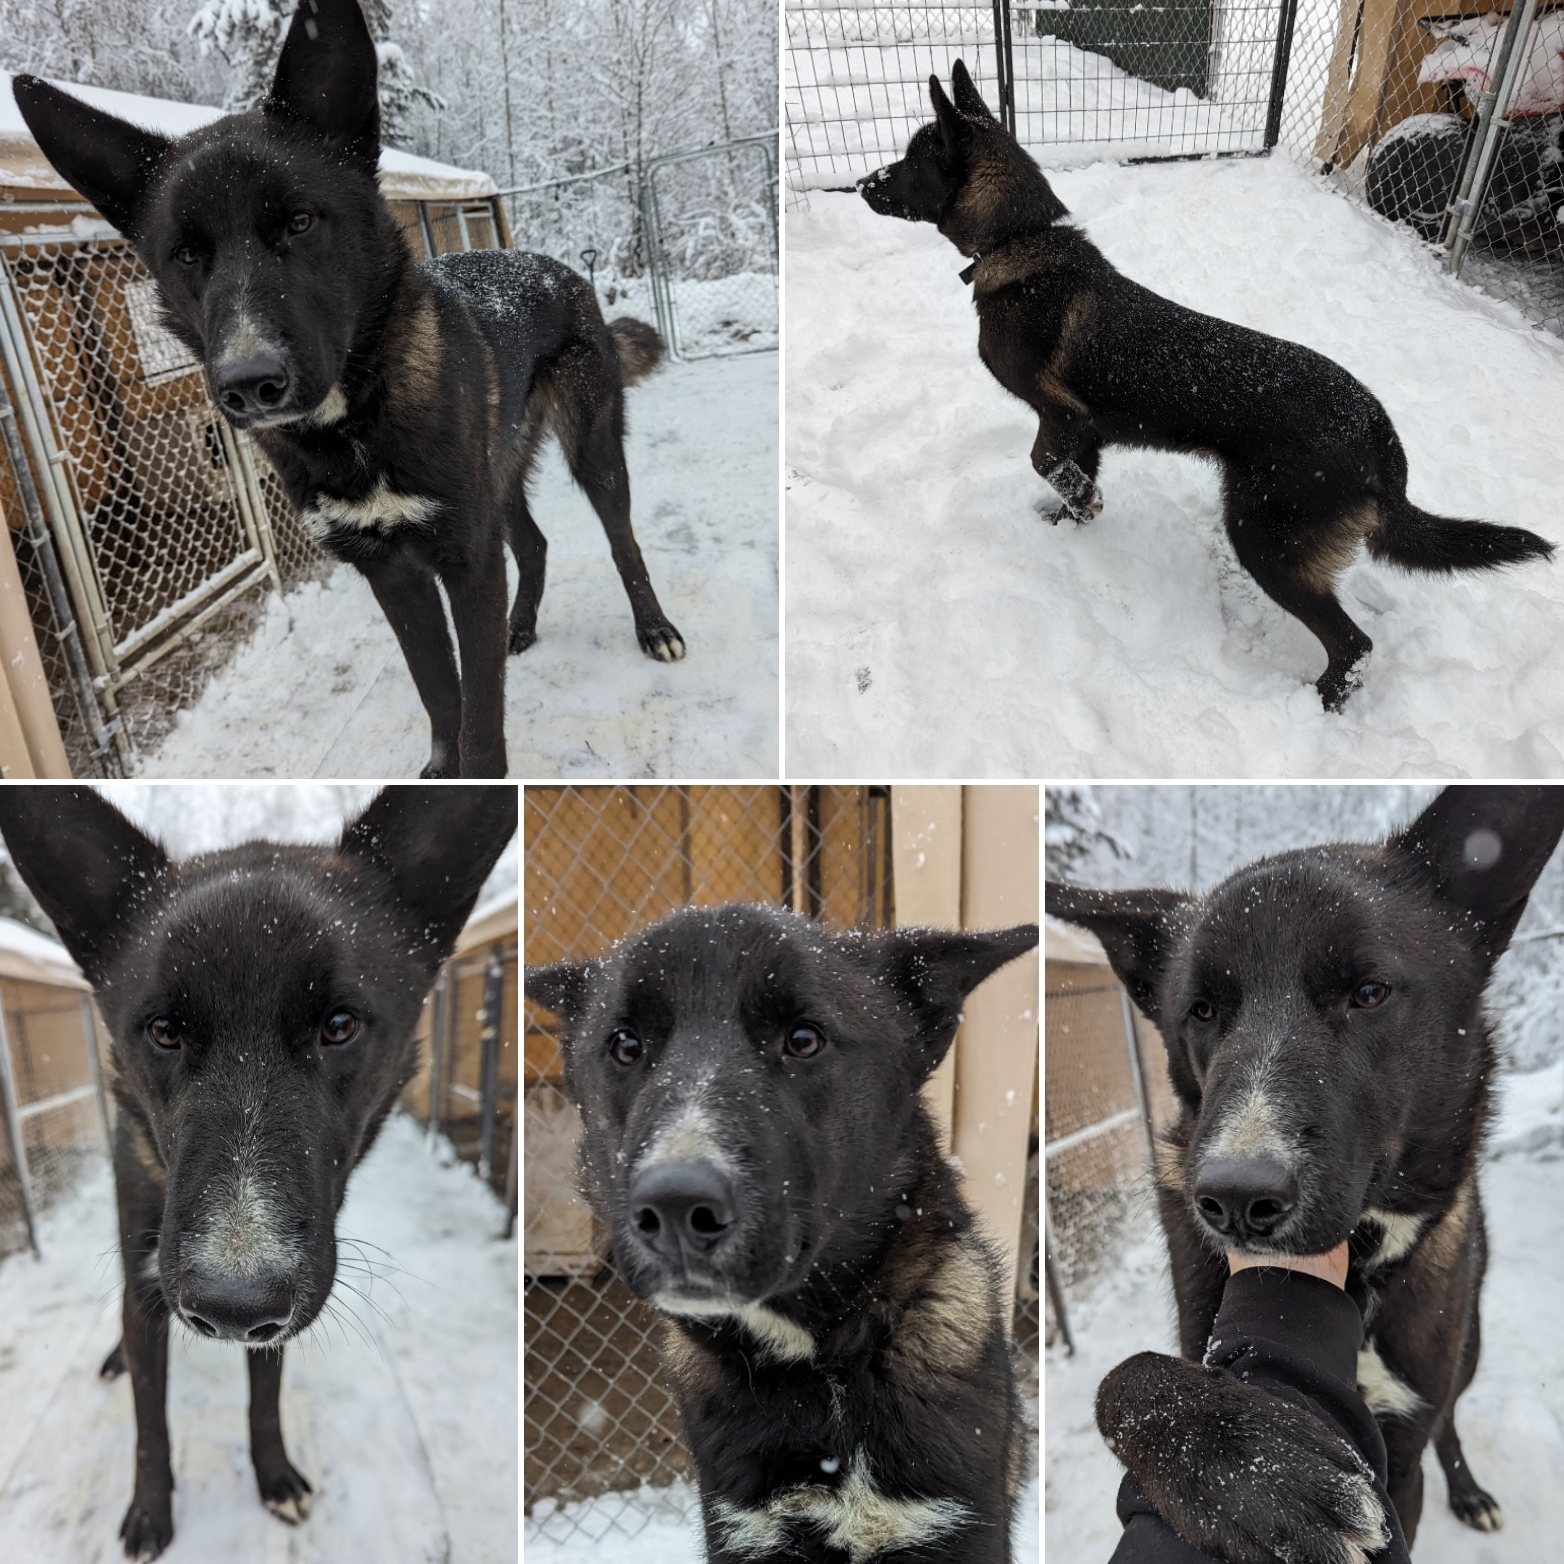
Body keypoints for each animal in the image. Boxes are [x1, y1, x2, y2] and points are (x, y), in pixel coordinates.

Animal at [0, 788, 519, 1557]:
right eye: (162, 1030)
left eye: (340, 1025)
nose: (231, 1308)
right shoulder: (148, 1270)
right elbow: (150, 1423)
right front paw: (150, 1513)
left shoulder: (282, 1311)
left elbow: (264, 1398)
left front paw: (274, 1478)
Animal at [10, 0, 685, 778]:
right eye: (185, 255)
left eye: (300, 222)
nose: (248, 383)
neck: (355, 422)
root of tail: (563, 269)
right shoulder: (392, 573)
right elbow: (439, 691)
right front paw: (441, 774)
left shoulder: (465, 559)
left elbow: (481, 716)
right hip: (498, 473)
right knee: (535, 543)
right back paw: (522, 625)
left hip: (592, 453)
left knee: (622, 543)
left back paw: (654, 628)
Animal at [531, 907, 1044, 1564]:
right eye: (625, 1046)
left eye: (804, 1039)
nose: (674, 1208)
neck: (821, 1373)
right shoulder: (747, 1532)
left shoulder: (958, 1528)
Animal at [863, 64, 1557, 713]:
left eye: (911, 161)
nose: (864, 184)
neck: (1018, 240)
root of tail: (1381, 435)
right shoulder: (1082, 431)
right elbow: (1072, 479)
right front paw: (1070, 522)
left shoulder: (1059, 418)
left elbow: (1046, 464)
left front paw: (1081, 506)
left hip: (1262, 538)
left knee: (1353, 643)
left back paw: (1315, 706)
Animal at [1044, 794, 1564, 1564]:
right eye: (1201, 1010)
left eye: (1369, 992)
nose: (1232, 1200)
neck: (1360, 1274)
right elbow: (1124, 1378)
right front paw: (1254, 1475)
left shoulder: (1401, 1461)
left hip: (1467, 1347)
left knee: (1450, 1417)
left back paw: (1469, 1490)